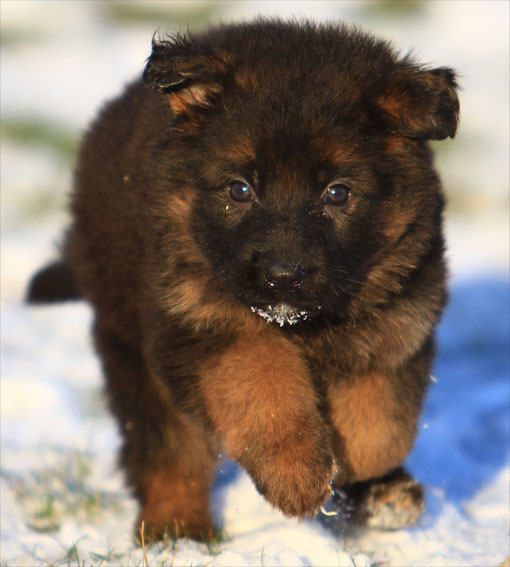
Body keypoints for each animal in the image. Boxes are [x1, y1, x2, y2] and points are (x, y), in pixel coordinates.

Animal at [27, 20, 459, 540]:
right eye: (240, 189)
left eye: (337, 193)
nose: (283, 277)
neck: (304, 323)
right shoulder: (199, 324)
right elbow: (260, 380)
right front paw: (296, 474)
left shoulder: (401, 313)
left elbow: (380, 424)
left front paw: (372, 486)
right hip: (128, 344)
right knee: (169, 452)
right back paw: (177, 527)